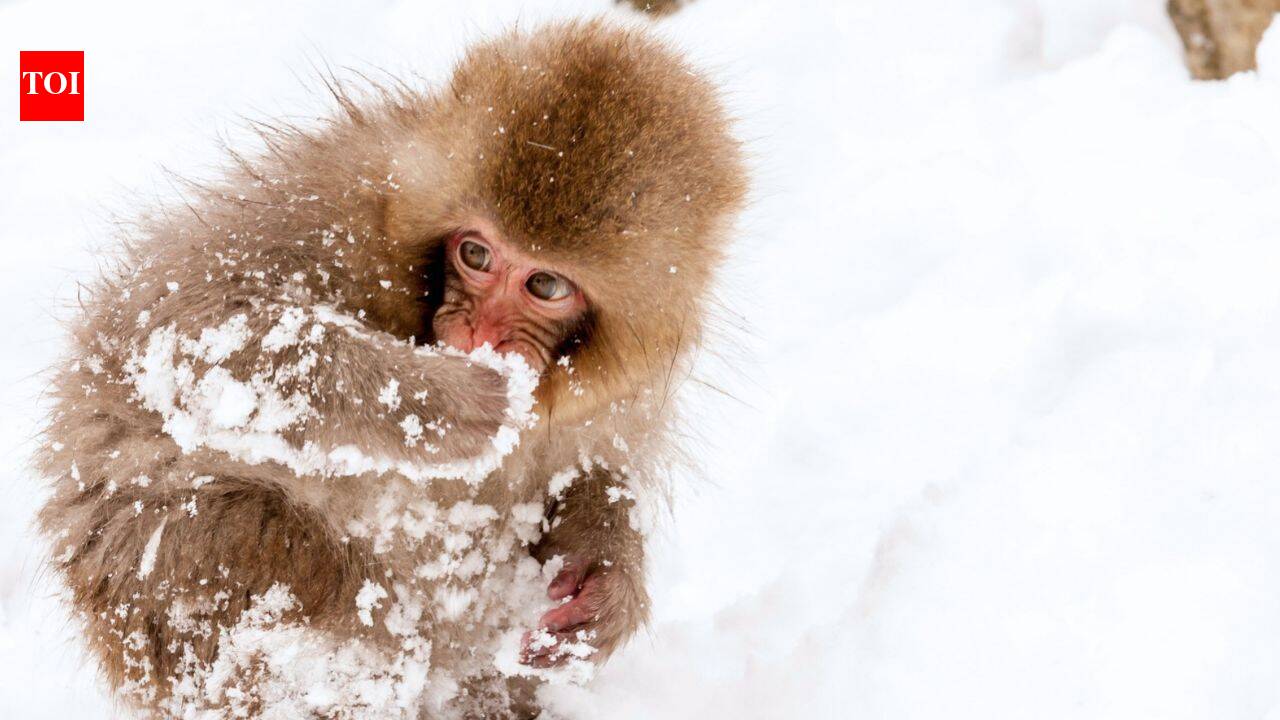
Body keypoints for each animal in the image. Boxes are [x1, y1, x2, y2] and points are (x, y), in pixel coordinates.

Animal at [35, 19, 745, 719]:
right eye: (475, 254)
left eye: (544, 284)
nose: (480, 334)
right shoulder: (338, 202)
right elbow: (180, 324)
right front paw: (445, 404)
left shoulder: (632, 386)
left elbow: (596, 470)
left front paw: (606, 584)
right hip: (172, 575)